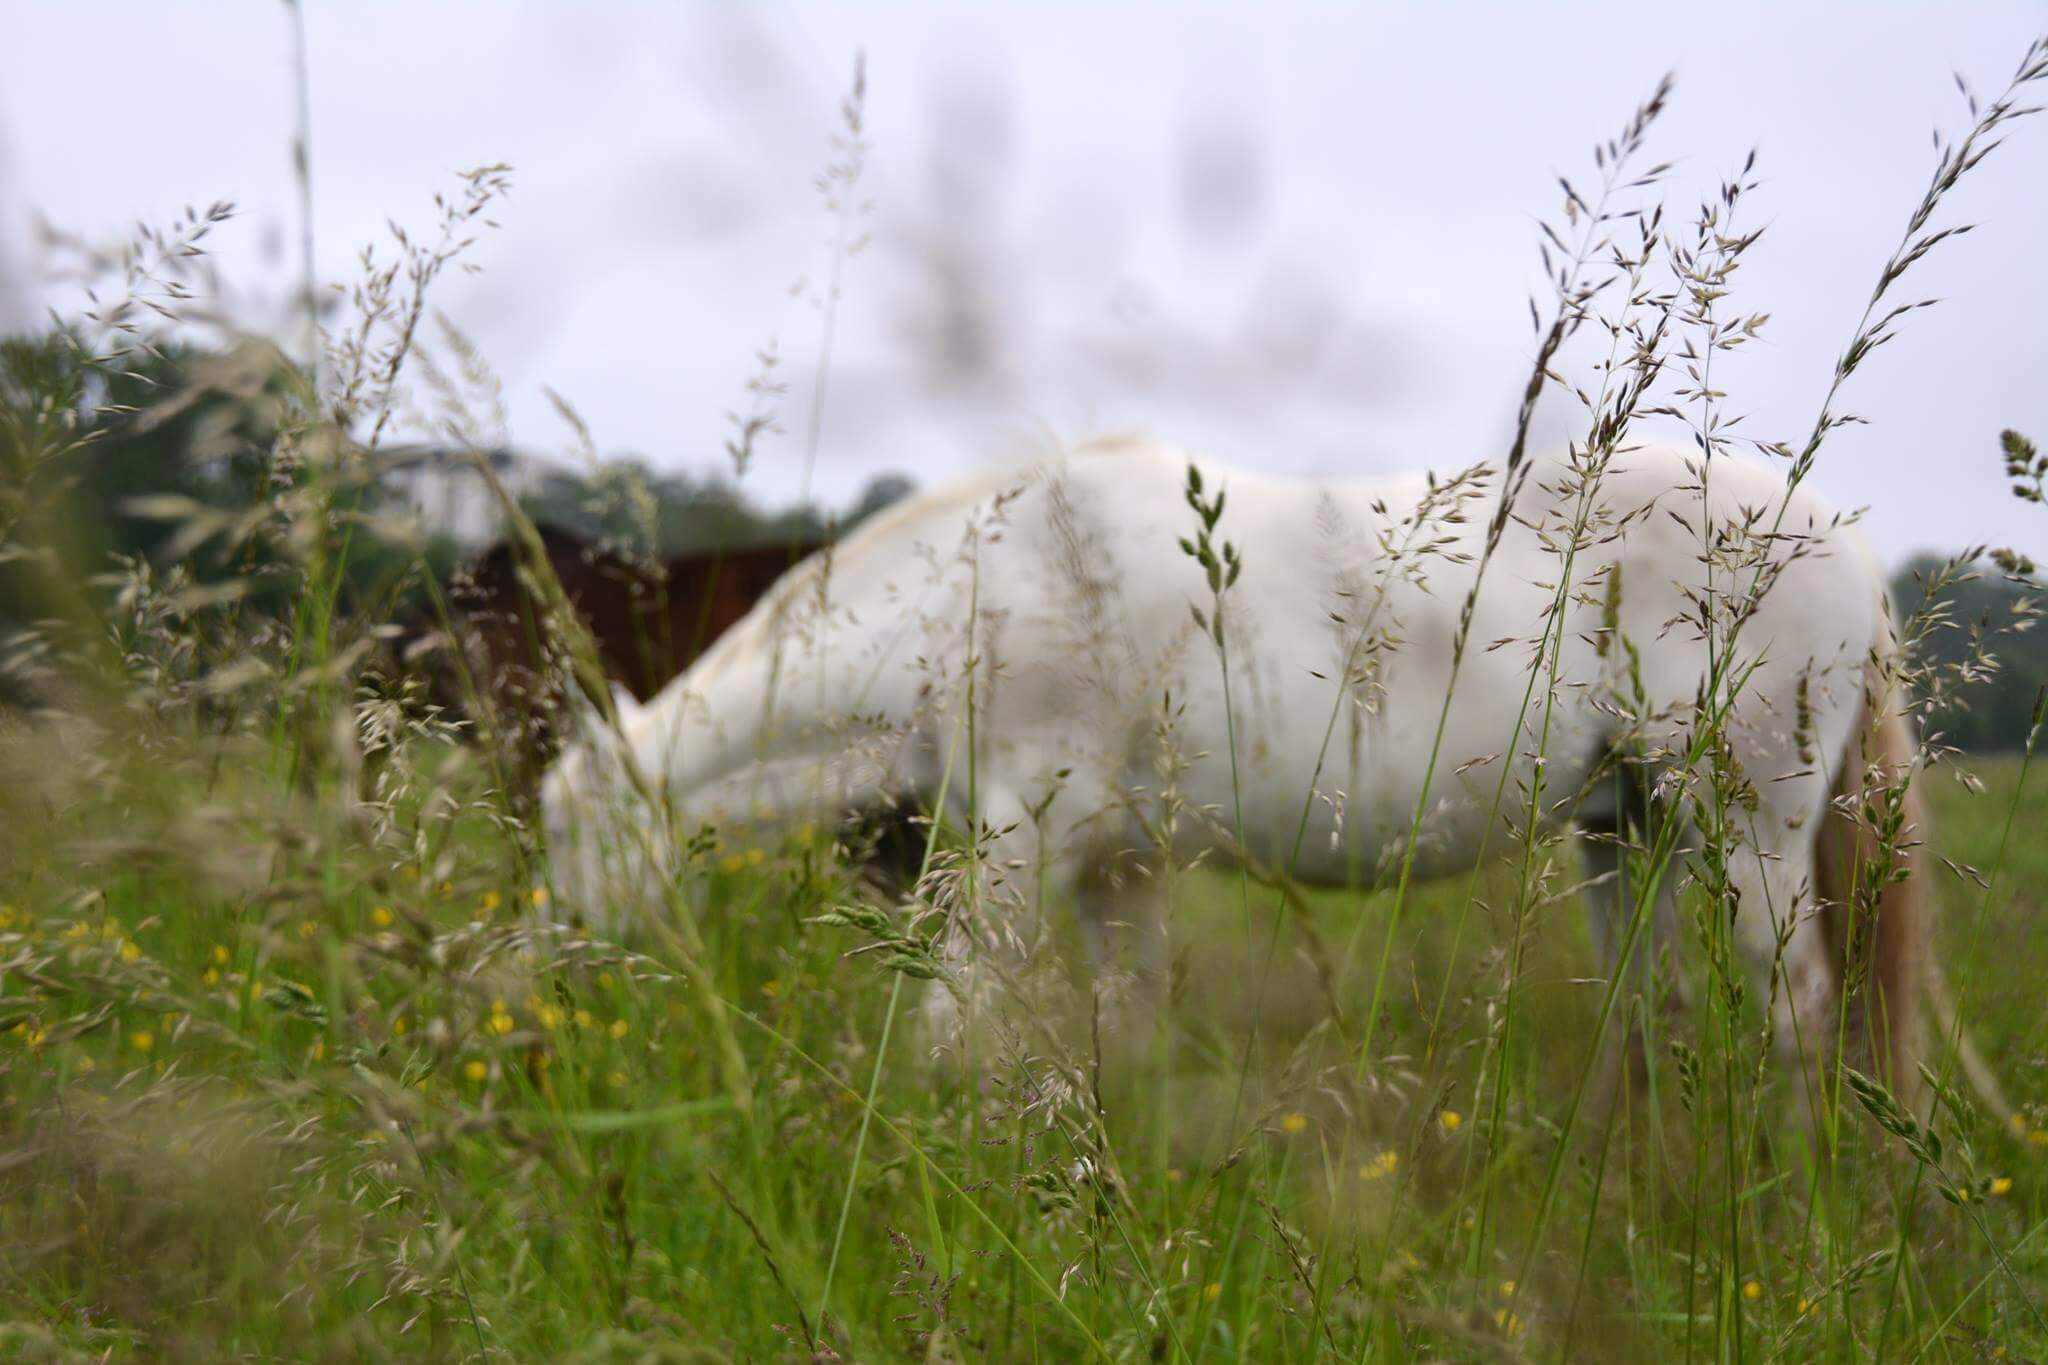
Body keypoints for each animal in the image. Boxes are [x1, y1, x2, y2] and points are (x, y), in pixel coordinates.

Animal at [539, 434, 1975, 1114]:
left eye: (569, 834)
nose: (553, 1000)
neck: (981, 591)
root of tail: (1846, 547)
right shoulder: (1114, 872)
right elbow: (1123, 1038)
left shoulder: (1020, 849)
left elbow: (945, 1031)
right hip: (1628, 833)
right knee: (1655, 1018)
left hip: (1750, 832)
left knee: (1798, 1019)